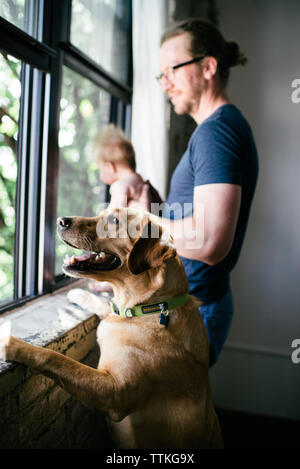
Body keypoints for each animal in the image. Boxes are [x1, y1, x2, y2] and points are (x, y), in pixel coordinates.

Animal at [2, 207, 223, 446]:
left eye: (113, 220)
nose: (61, 220)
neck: (151, 306)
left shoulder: (115, 392)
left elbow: (57, 359)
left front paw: (12, 343)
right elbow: (105, 306)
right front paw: (80, 294)